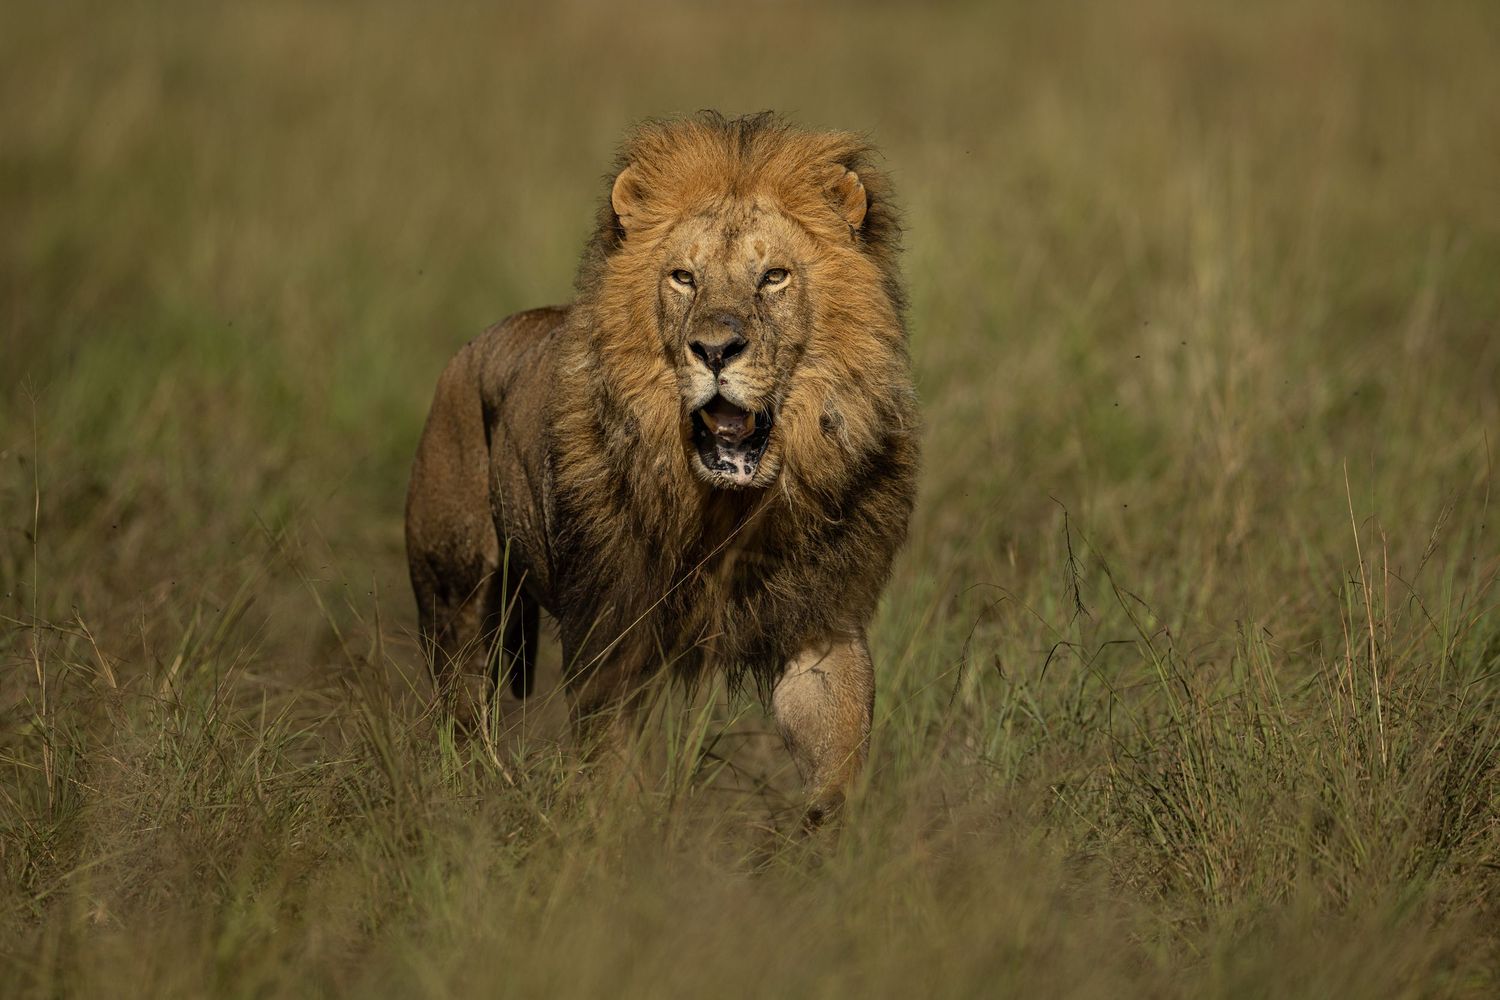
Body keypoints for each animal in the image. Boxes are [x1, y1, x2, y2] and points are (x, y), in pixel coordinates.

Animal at [405, 111, 918, 825]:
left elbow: (837, 751)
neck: (729, 507)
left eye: (773, 277)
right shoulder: (614, 634)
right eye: (683, 277)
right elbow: (614, 769)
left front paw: (820, 833)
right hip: (453, 588)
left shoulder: (820, 622)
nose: (715, 349)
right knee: (463, 711)